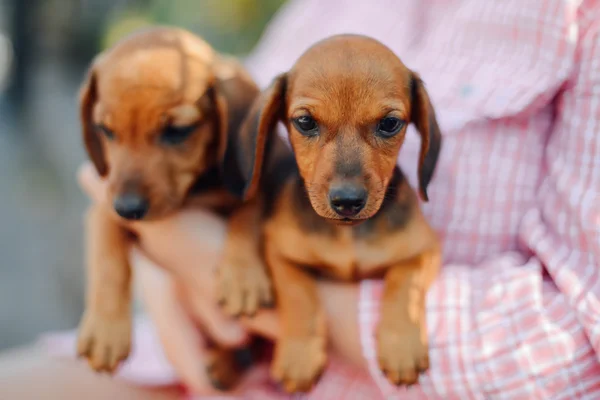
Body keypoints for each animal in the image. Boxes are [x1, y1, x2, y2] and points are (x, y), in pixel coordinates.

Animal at [76, 26, 274, 390]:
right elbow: (107, 258)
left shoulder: (257, 185)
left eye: (178, 131)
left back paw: (225, 364)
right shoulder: (102, 208)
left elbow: (247, 212)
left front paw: (242, 276)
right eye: (105, 130)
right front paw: (105, 330)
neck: (194, 192)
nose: (128, 208)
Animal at [232, 34, 442, 390]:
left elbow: (406, 284)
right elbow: (298, 292)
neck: (348, 235)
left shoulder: (425, 248)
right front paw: (300, 355)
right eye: (305, 122)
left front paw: (402, 345)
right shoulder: (279, 250)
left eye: (389, 124)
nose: (347, 201)